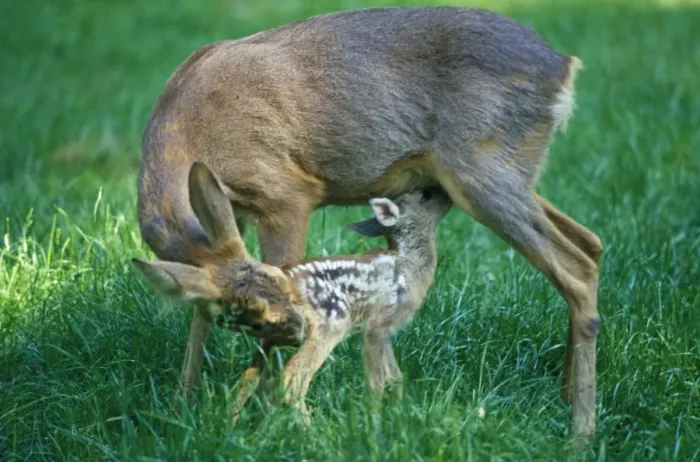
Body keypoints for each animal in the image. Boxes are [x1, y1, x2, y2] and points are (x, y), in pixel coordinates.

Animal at [133, 162, 452, 423]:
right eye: (425, 195)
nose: (444, 192)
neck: (408, 264)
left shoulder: (381, 329)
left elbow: (396, 377)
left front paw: (396, 412)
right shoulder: (377, 323)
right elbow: (378, 381)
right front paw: (377, 421)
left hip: (279, 334)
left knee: (250, 375)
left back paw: (229, 425)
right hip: (330, 323)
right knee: (291, 380)